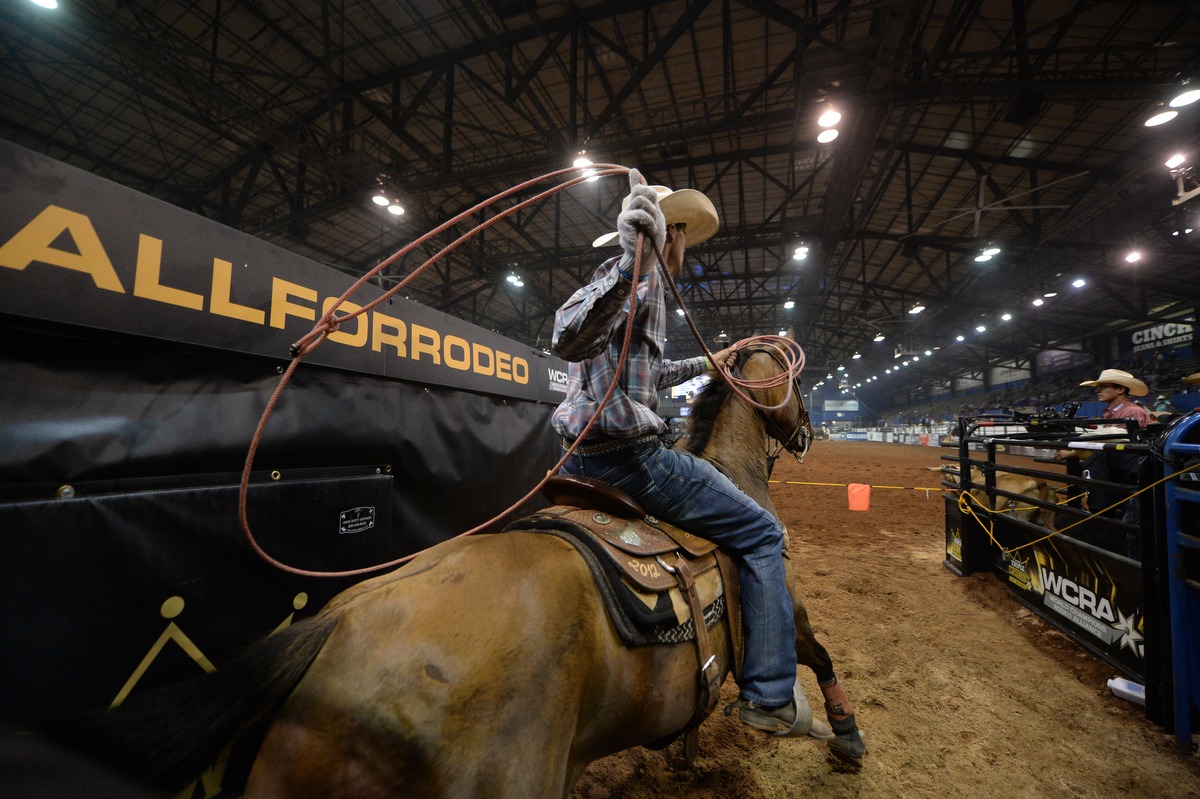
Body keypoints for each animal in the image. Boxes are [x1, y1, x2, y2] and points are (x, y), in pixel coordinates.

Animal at [79, 347, 864, 796]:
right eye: (801, 385)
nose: (808, 431)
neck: (732, 473)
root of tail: (335, 629)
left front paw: (685, 755)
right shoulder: (781, 599)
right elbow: (820, 653)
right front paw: (842, 738)